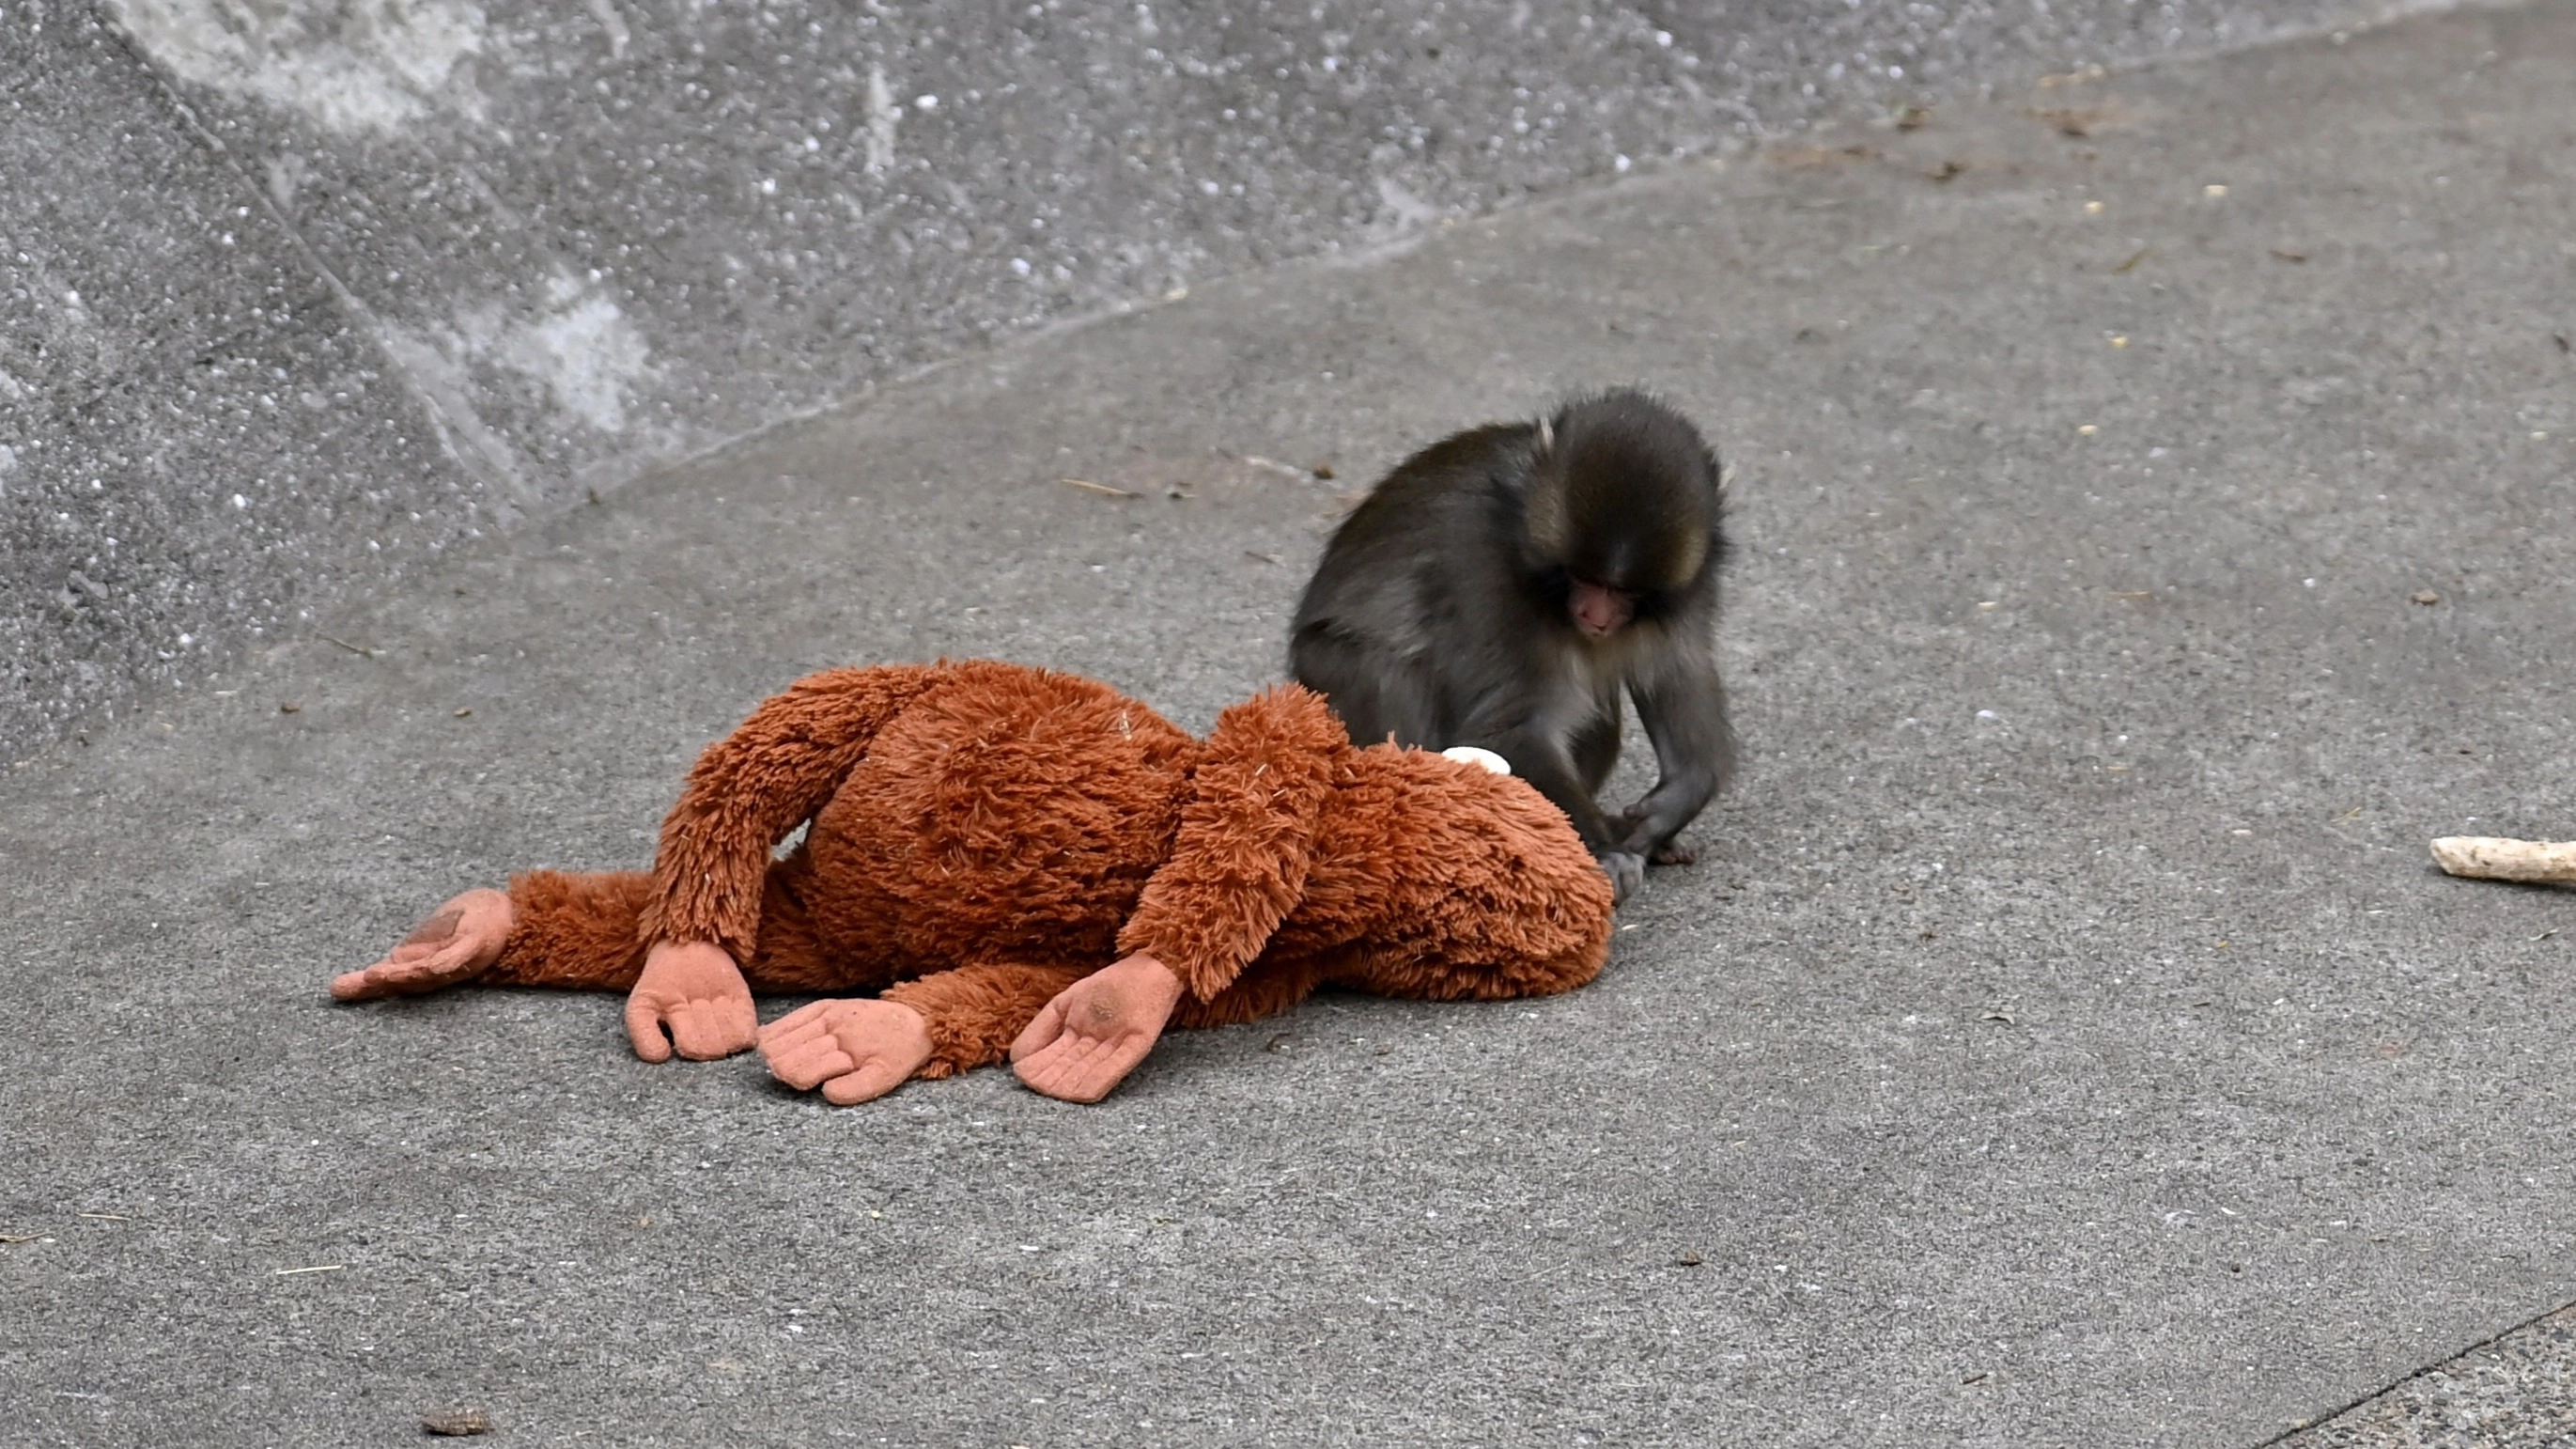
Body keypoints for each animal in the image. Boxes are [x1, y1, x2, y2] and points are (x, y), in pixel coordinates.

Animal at [1288, 388, 1733, 902]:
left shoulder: (1691, 590)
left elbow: (1677, 675)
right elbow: (1512, 728)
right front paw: (1603, 851)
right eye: (1583, 578)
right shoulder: (1483, 568)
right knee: (1383, 674)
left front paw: (1676, 800)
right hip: (1327, 676)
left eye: (1624, 591)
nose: (1595, 617)